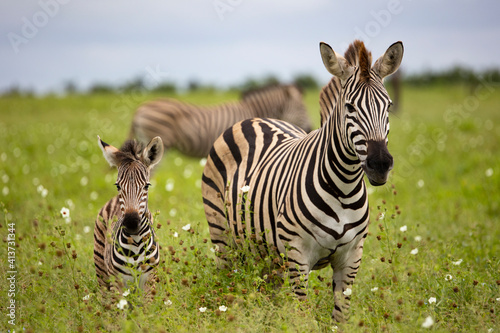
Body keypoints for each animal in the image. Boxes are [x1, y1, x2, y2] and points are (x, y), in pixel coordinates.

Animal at [94, 135, 163, 294]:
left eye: (147, 186)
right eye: (118, 186)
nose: (131, 222)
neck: (136, 242)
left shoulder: (149, 282)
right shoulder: (117, 282)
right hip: (102, 272)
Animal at [201, 39, 404, 320]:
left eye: (389, 106)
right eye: (350, 107)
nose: (380, 164)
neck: (344, 187)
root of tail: (254, 119)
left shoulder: (352, 257)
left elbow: (340, 316)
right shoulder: (298, 256)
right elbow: (302, 316)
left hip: (266, 252)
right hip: (222, 236)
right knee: (226, 279)